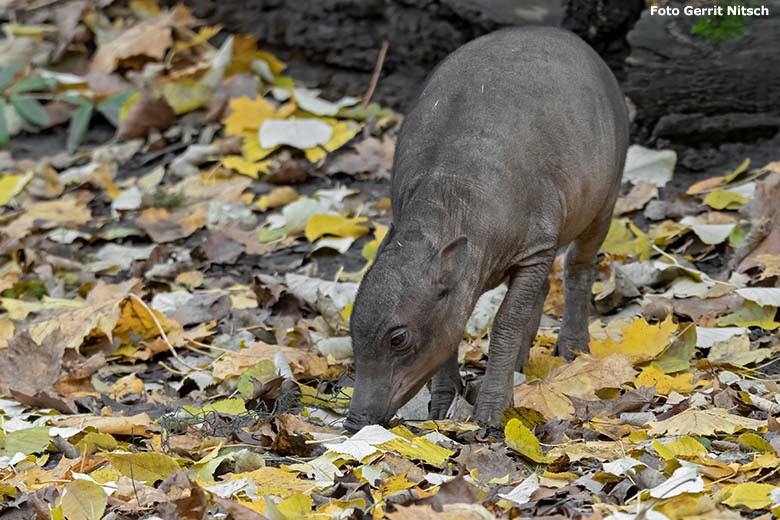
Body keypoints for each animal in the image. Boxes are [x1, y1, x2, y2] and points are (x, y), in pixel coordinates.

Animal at [344, 26, 632, 428]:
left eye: (398, 339)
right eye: (352, 331)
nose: (354, 422)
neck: (450, 200)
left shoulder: (534, 248)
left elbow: (506, 320)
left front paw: (492, 410)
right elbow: (451, 332)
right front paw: (443, 404)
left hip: (604, 199)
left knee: (579, 267)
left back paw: (573, 347)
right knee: (544, 287)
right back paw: (523, 362)